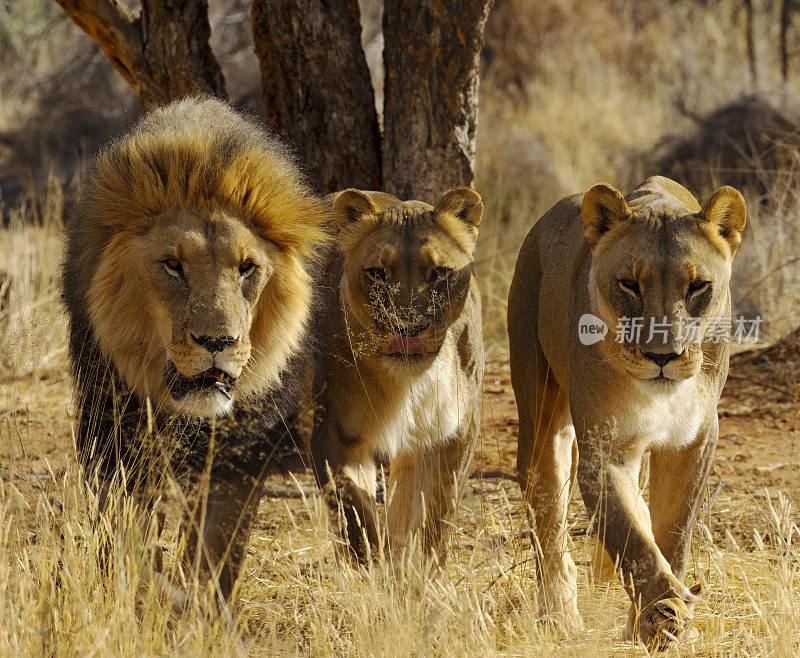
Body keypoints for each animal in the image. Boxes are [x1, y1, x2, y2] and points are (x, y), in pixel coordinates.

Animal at [62, 95, 330, 604]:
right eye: (172, 265)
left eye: (247, 268)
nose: (217, 342)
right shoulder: (118, 442)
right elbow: (124, 540)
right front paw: (134, 600)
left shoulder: (237, 458)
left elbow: (216, 555)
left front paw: (200, 611)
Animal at [312, 187, 484, 560]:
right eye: (377, 273)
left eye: (439, 273)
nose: (407, 329)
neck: (409, 383)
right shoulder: (333, 431)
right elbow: (354, 515)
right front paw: (374, 566)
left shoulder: (459, 428)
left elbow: (438, 511)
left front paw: (420, 568)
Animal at [510, 176, 748, 652]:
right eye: (628, 284)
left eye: (698, 286)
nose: (662, 356)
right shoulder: (605, 449)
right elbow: (632, 537)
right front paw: (661, 613)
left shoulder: (694, 442)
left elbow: (670, 531)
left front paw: (659, 617)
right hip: (541, 411)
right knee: (546, 506)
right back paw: (559, 615)